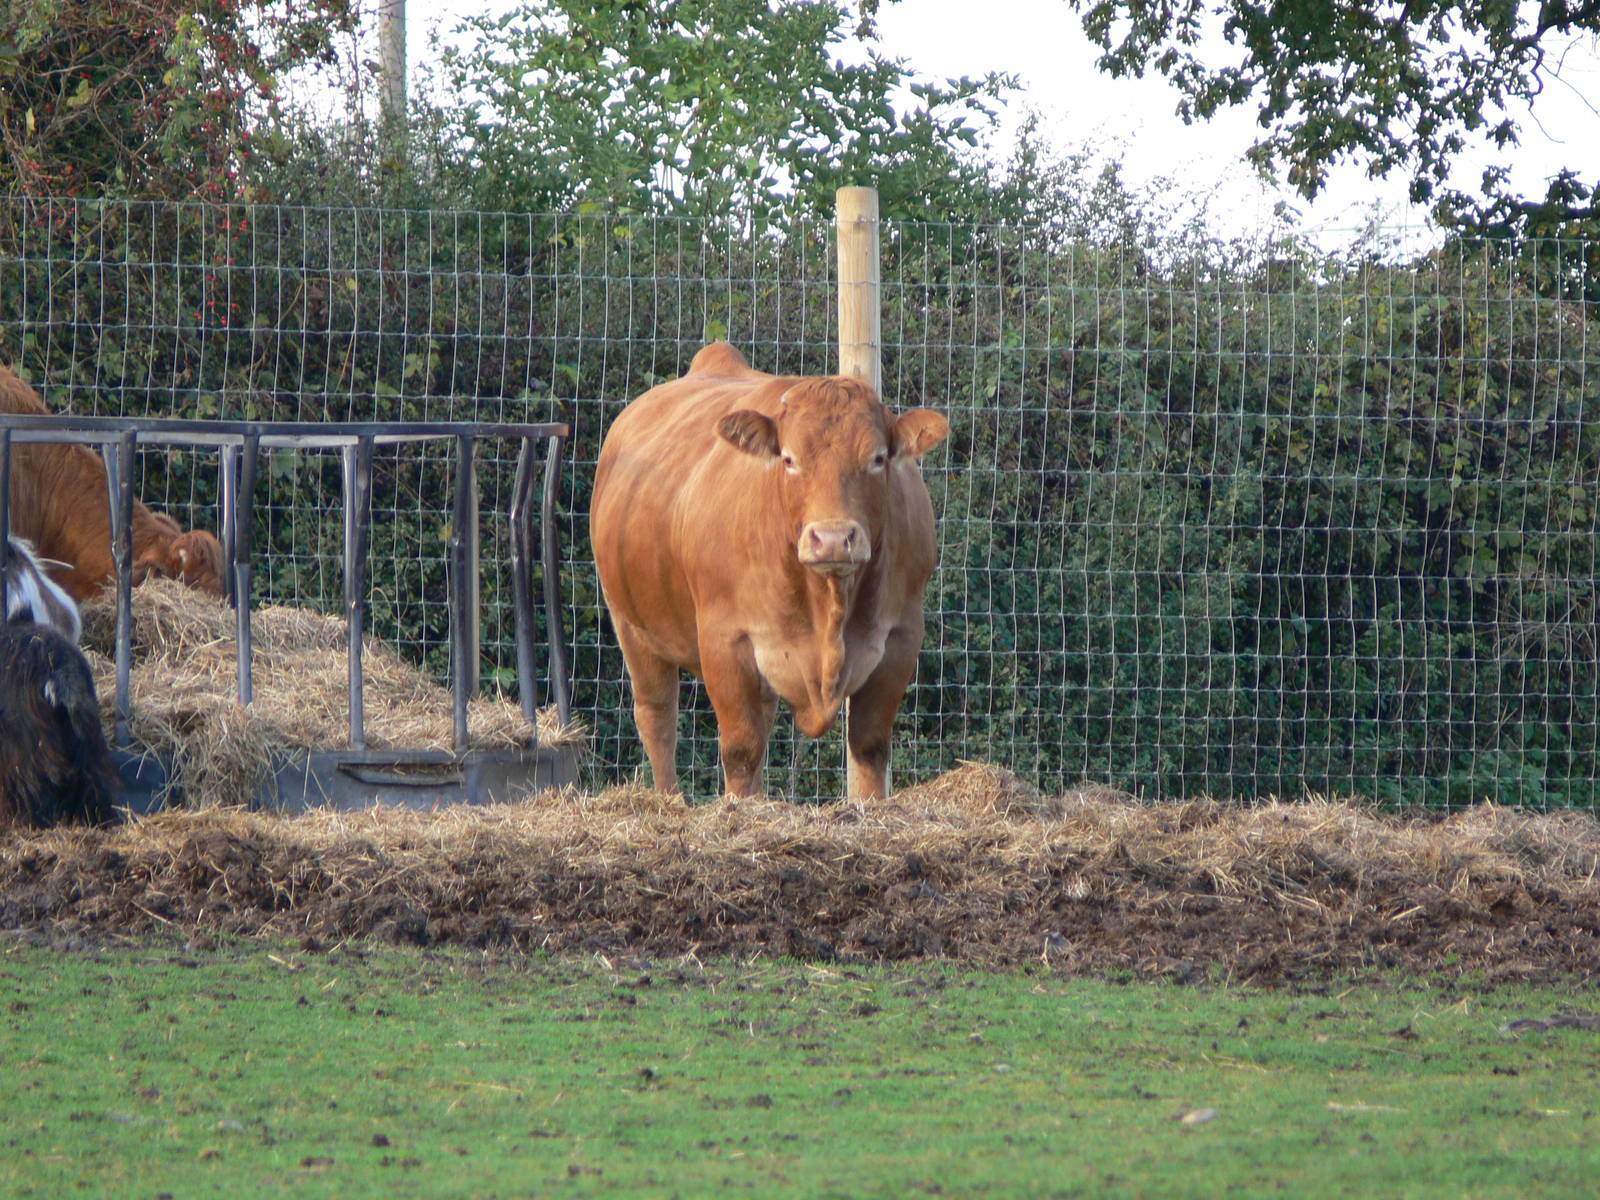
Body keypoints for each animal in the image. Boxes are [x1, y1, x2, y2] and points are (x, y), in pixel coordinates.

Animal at [591, 342, 949, 800]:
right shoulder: (724, 639)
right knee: (658, 718)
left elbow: (869, 748)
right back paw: (669, 800)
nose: (833, 538)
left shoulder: (901, 636)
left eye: (878, 458)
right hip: (631, 624)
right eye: (790, 459)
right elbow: (741, 748)